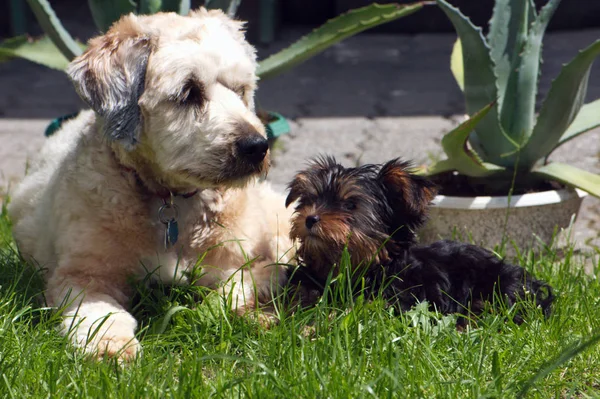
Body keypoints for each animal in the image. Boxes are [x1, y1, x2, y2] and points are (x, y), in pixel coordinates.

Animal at [9, 8, 296, 362]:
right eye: (188, 92)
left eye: (240, 89)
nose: (257, 146)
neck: (171, 201)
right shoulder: (82, 275)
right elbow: (100, 313)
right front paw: (110, 345)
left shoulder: (255, 260)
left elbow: (236, 289)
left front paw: (244, 315)